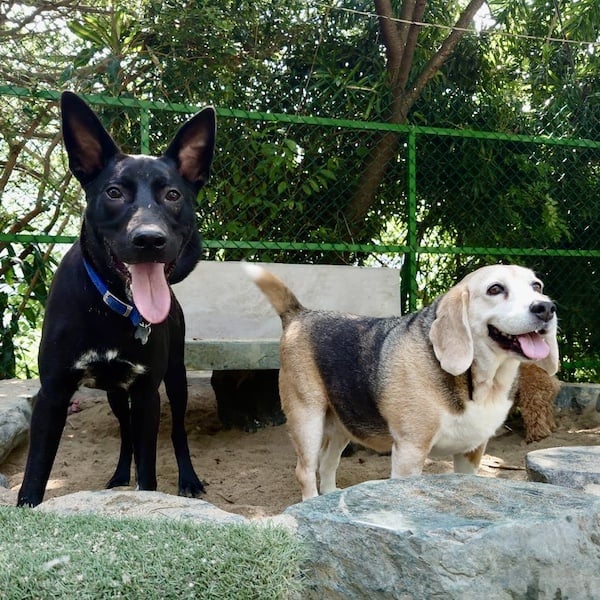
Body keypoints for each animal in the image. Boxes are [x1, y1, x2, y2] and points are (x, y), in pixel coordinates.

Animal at [17, 92, 216, 507]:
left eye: (173, 195)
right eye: (114, 192)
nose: (149, 239)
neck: (110, 304)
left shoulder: (146, 393)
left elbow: (150, 472)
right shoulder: (52, 394)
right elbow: (36, 471)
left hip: (176, 378)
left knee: (177, 431)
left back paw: (188, 479)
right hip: (114, 394)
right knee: (125, 433)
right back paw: (121, 473)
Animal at [246, 263, 559, 500]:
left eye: (537, 286)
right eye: (495, 289)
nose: (546, 308)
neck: (479, 381)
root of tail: (300, 314)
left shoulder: (472, 451)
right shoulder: (410, 451)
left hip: (342, 425)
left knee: (327, 464)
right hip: (307, 419)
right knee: (306, 470)